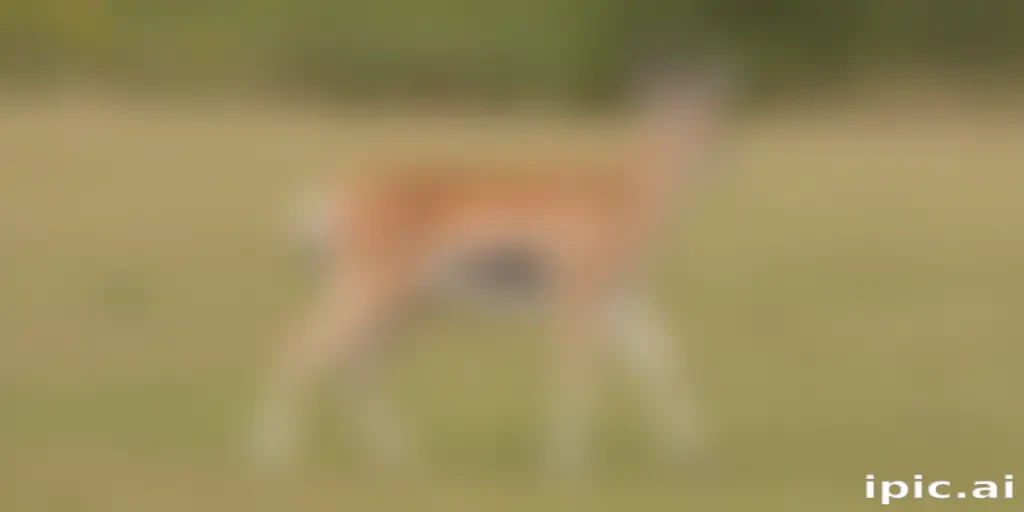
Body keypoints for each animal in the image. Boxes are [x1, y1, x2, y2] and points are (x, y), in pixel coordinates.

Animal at [250, 63, 728, 475]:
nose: (717, 154)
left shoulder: (622, 298)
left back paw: (403, 463)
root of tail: (332, 198)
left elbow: (660, 358)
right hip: (372, 290)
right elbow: (577, 371)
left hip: (404, 306)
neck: (622, 194)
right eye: (678, 116)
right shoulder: (579, 298)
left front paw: (692, 454)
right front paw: (565, 466)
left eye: (713, 114)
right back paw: (271, 460)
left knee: (357, 364)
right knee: (301, 348)